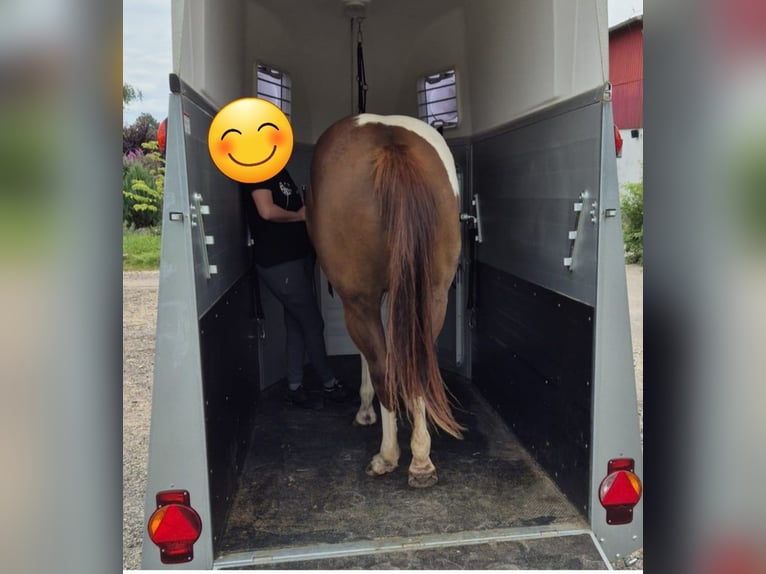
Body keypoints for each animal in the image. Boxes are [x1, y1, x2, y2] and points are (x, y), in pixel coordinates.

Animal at [308, 113, 464, 490]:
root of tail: (390, 143)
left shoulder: (363, 300)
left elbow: (372, 359)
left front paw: (365, 411)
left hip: (358, 303)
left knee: (380, 364)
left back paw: (389, 455)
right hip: (432, 297)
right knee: (417, 363)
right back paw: (421, 460)